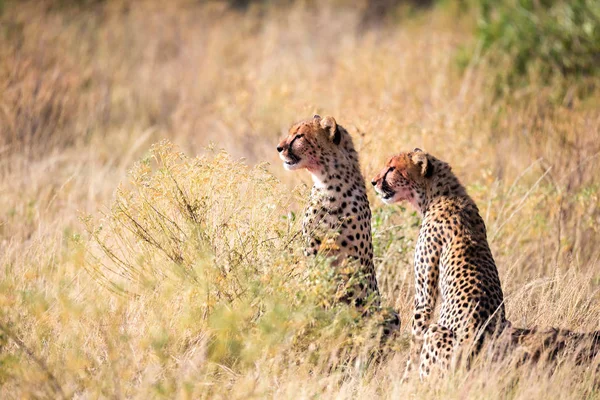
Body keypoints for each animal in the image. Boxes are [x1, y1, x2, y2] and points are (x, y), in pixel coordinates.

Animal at [276, 116, 398, 334]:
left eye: (299, 136)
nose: (279, 148)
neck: (329, 184)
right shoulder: (313, 251)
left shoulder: (353, 260)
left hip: (391, 314)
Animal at [370, 149, 506, 378]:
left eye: (392, 169)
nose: (373, 182)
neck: (438, 194)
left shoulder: (424, 296)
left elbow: (415, 342)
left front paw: (405, 379)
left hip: (438, 332)